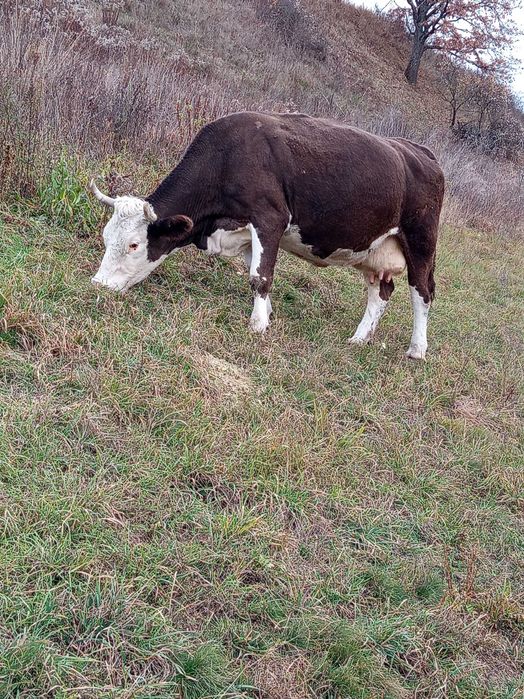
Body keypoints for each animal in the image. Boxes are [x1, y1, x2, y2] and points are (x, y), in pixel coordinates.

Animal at [90, 111, 444, 359]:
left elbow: (260, 276)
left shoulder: (270, 218)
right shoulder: (248, 231)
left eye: (134, 244)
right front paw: (268, 314)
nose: (98, 284)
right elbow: (255, 269)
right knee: (381, 292)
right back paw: (359, 338)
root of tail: (419, 151)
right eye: (107, 238)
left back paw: (416, 349)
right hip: (374, 250)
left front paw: (258, 325)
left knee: (422, 291)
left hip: (421, 240)